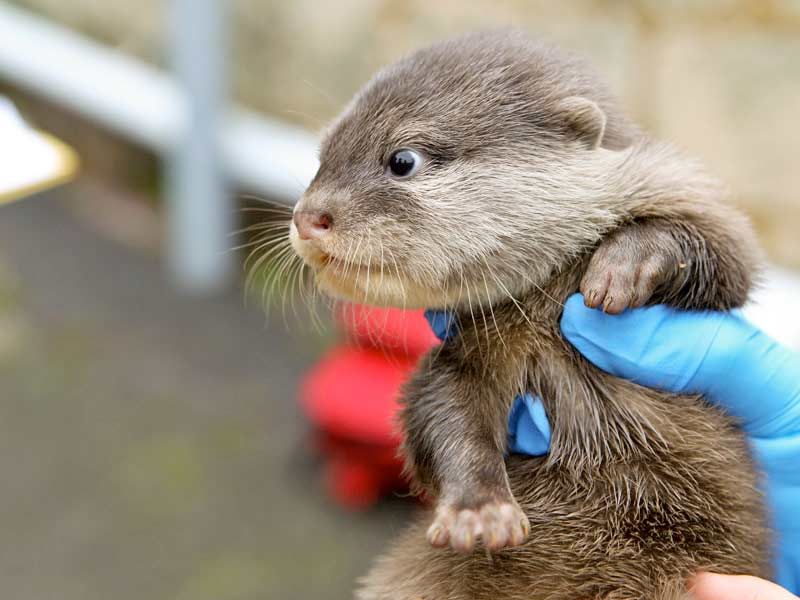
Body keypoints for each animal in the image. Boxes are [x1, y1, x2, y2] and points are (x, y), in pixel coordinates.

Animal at [288, 31, 768, 600]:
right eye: (322, 156)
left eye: (402, 159)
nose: (308, 217)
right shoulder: (467, 355)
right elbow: (440, 412)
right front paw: (480, 511)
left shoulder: (687, 195)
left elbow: (723, 257)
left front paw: (621, 268)